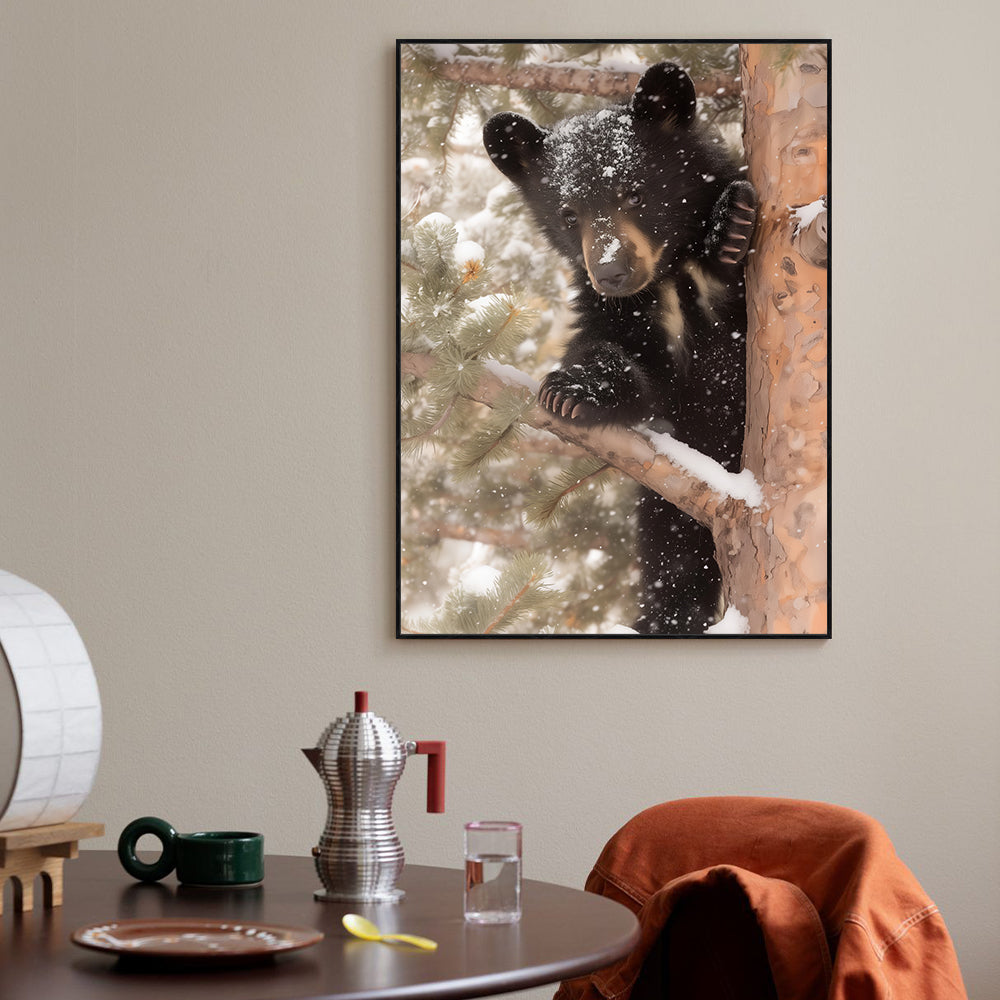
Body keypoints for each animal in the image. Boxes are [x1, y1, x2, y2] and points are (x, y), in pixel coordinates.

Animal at [482, 61, 757, 634]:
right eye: (568, 214)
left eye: (634, 193)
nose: (611, 272)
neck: (670, 279)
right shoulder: (620, 315)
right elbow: (621, 360)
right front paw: (573, 391)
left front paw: (731, 225)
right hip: (667, 506)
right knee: (671, 563)